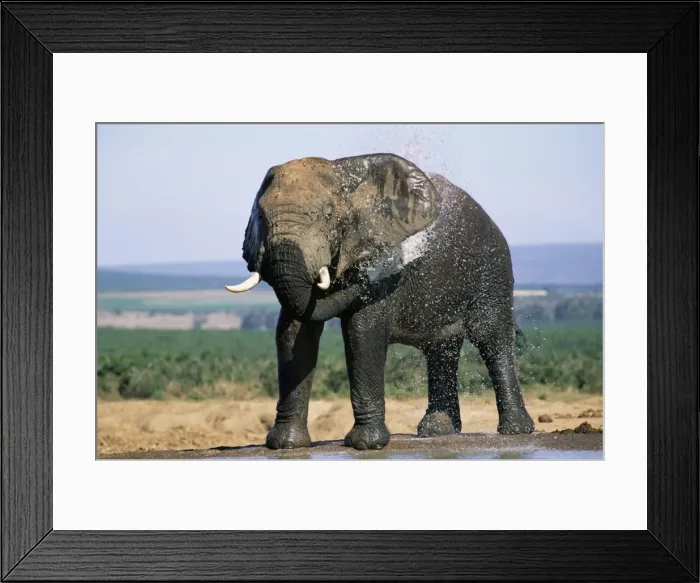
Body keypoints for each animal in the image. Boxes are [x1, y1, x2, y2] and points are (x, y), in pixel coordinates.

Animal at [227, 153, 535, 450]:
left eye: (328, 214)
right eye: (261, 217)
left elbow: (362, 331)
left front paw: (366, 445)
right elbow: (293, 334)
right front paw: (285, 446)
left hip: (492, 268)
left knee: (491, 337)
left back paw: (516, 431)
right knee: (442, 347)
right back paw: (436, 431)